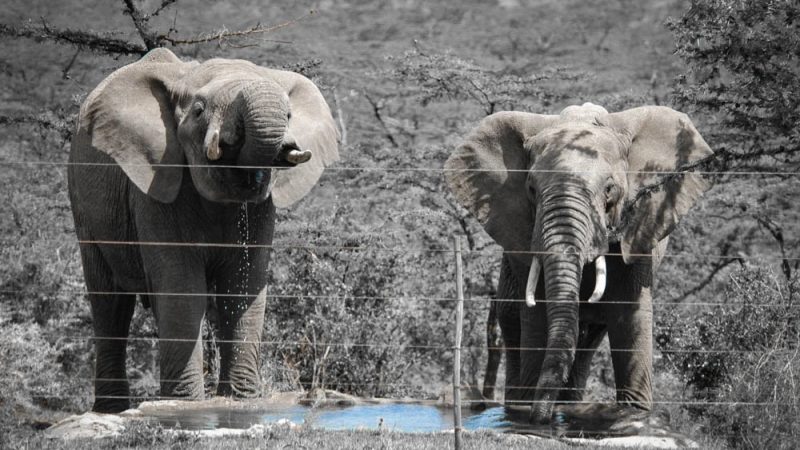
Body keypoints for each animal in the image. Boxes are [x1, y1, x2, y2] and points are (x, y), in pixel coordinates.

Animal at [68, 48, 339, 413]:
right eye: (198, 110)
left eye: (289, 114)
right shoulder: (157, 183)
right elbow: (182, 286)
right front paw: (185, 405)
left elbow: (243, 285)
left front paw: (239, 401)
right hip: (84, 203)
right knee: (110, 303)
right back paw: (112, 411)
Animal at [445, 103, 712, 424]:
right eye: (531, 189)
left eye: (609, 189)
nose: (542, 418)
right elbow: (537, 314)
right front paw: (530, 417)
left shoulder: (641, 228)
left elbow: (629, 314)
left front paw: (633, 415)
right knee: (512, 325)